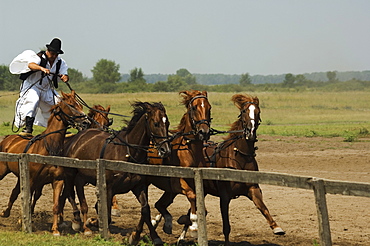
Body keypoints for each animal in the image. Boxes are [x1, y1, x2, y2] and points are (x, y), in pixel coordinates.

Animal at [0, 90, 88, 234]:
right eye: (71, 105)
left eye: (80, 105)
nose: (85, 122)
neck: (49, 148)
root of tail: (8, 139)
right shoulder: (31, 180)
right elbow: (27, 199)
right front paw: (23, 221)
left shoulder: (58, 180)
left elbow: (56, 205)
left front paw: (55, 229)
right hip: (3, 171)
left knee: (14, 192)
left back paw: (5, 213)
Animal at [60, 101, 171, 245]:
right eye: (156, 123)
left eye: (167, 123)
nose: (165, 150)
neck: (128, 152)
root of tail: (75, 139)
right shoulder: (109, 188)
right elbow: (106, 212)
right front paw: (94, 223)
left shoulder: (139, 187)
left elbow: (145, 210)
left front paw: (150, 237)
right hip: (70, 174)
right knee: (70, 194)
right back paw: (78, 222)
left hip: (81, 178)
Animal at [180, 93, 286, 244]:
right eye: (244, 111)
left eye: (258, 112)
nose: (250, 132)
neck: (240, 156)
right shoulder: (224, 197)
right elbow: (226, 227)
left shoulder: (253, 189)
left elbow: (263, 208)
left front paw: (276, 227)